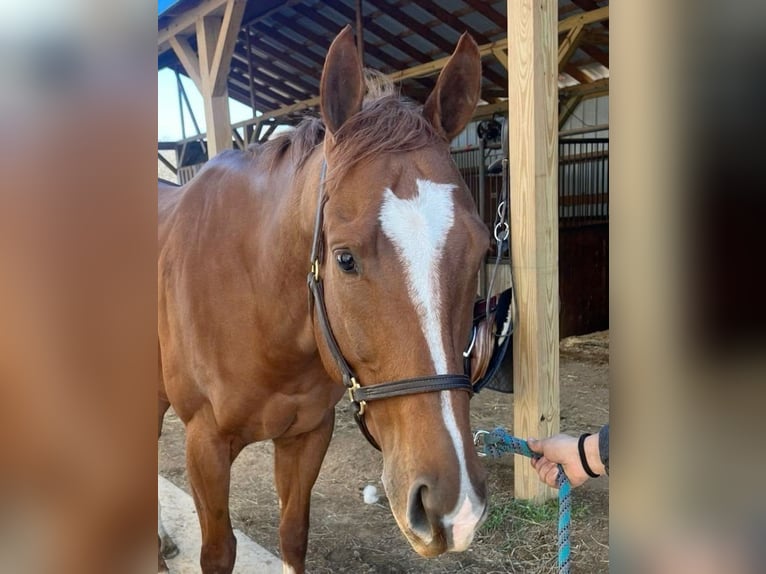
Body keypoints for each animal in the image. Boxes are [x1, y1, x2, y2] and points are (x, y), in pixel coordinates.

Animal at [158, 26, 489, 574]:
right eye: (344, 258)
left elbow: (293, 534)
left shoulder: (308, 435)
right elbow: (218, 552)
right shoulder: (204, 445)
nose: (452, 507)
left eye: (482, 249)